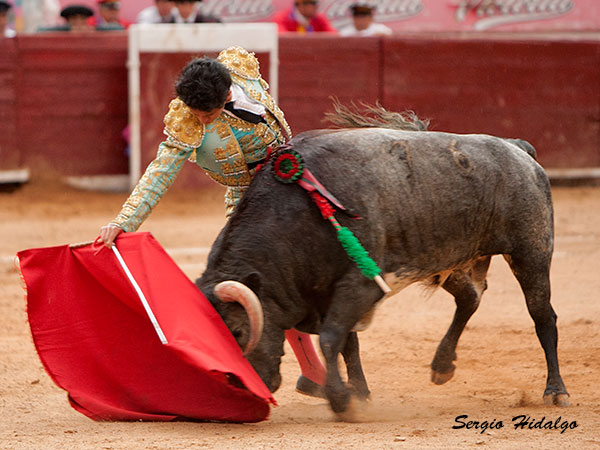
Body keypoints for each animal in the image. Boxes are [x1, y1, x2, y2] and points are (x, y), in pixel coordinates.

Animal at [196, 126, 568, 414]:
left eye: (238, 332)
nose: (242, 391)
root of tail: (516, 148)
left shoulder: (360, 284)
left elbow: (331, 339)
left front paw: (342, 400)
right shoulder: (329, 293)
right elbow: (347, 343)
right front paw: (359, 394)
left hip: (531, 251)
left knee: (542, 316)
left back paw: (555, 391)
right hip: (451, 258)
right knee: (470, 299)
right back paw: (442, 366)